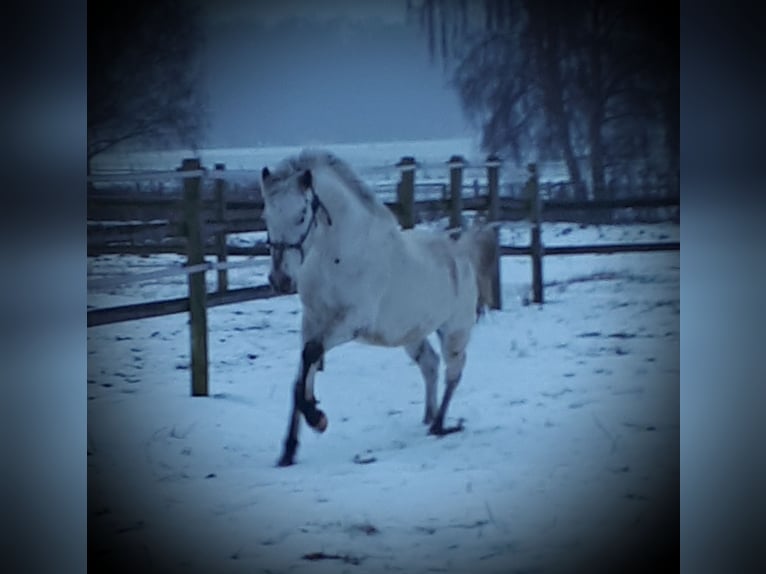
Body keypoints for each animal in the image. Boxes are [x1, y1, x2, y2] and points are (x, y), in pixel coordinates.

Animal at [260, 149, 498, 466]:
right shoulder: (311, 321)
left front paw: (318, 419)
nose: (280, 280)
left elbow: (310, 356)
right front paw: (288, 451)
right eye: (266, 216)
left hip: (455, 331)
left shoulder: (351, 321)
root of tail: (461, 252)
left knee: (454, 372)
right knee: (430, 364)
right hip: (412, 333)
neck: (337, 255)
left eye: (300, 215)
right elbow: (301, 377)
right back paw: (429, 416)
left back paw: (439, 425)